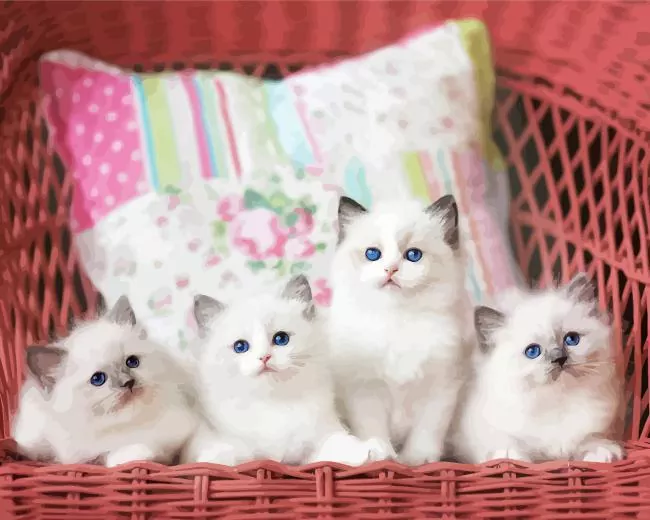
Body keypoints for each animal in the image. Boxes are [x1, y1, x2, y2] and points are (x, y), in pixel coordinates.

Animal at [182, 275, 378, 466]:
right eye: (240, 347)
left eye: (281, 339)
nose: (264, 357)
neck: (274, 402)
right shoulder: (217, 437)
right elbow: (225, 453)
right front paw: (209, 464)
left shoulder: (320, 438)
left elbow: (337, 445)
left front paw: (370, 450)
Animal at [327, 194, 473, 465]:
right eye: (373, 254)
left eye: (413, 255)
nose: (391, 269)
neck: (398, 320)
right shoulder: (364, 390)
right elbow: (373, 429)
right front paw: (383, 456)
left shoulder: (441, 389)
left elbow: (426, 433)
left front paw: (416, 461)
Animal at [451, 273, 625, 463]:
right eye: (533, 351)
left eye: (572, 339)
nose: (560, 359)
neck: (557, 403)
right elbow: (507, 444)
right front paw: (508, 457)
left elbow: (590, 439)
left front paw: (601, 452)